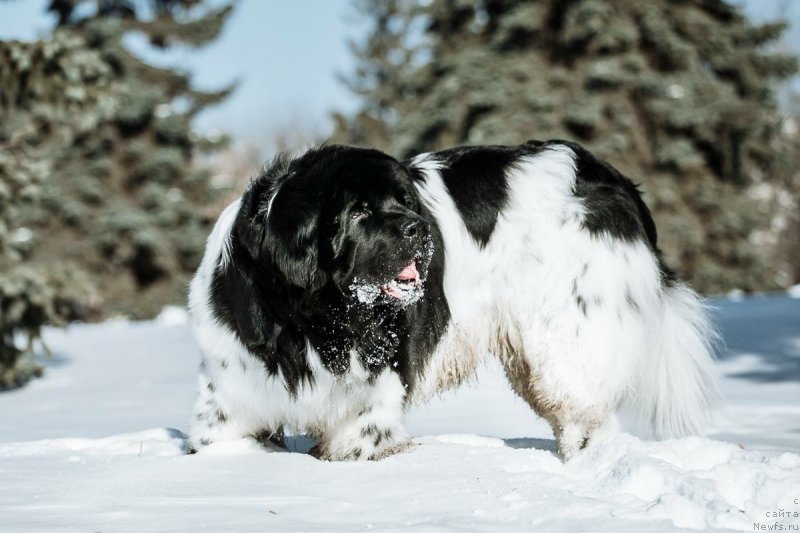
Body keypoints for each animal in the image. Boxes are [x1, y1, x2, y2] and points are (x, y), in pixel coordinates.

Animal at [189, 140, 720, 458]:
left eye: (406, 201)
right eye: (358, 212)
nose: (418, 227)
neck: (313, 319)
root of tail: (610, 176)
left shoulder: (371, 396)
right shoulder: (232, 389)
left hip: (570, 336)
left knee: (588, 412)